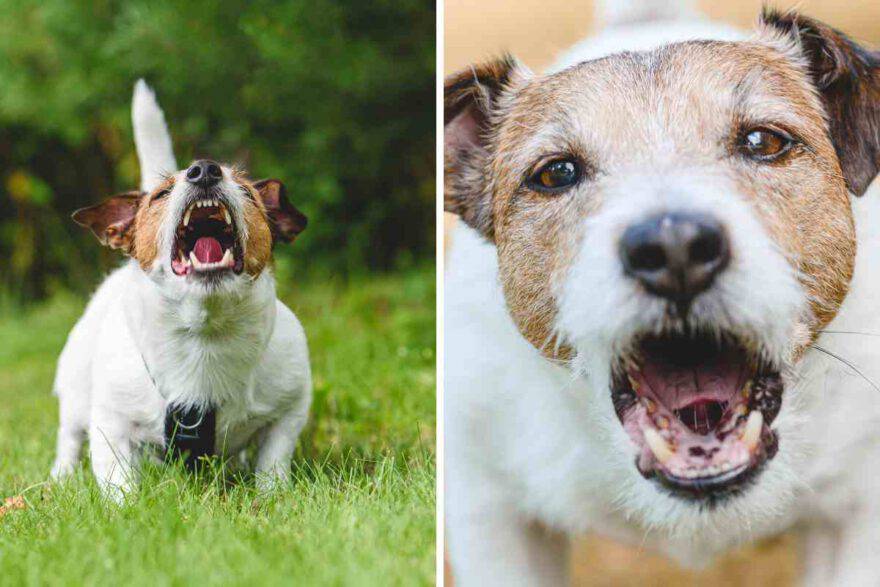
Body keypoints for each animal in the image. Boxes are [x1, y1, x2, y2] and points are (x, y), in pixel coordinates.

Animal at [51, 80, 312, 498]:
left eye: (246, 191)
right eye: (160, 195)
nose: (204, 169)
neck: (204, 335)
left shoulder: (289, 410)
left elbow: (273, 461)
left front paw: (271, 496)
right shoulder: (110, 421)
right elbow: (117, 478)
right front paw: (126, 507)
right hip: (75, 393)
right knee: (70, 438)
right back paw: (61, 478)